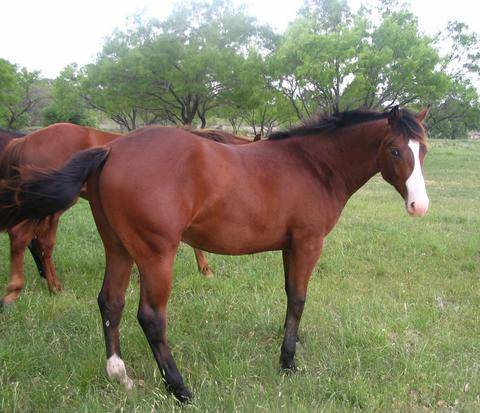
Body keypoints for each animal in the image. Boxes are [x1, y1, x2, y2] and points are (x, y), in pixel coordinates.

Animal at [0, 106, 432, 402]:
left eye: (423, 150)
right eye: (395, 150)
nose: (419, 206)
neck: (312, 166)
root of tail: (110, 149)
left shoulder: (290, 247)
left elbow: (290, 297)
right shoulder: (307, 244)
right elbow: (298, 299)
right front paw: (288, 362)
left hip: (118, 248)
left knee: (110, 303)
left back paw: (119, 374)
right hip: (156, 256)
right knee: (150, 317)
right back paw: (179, 388)